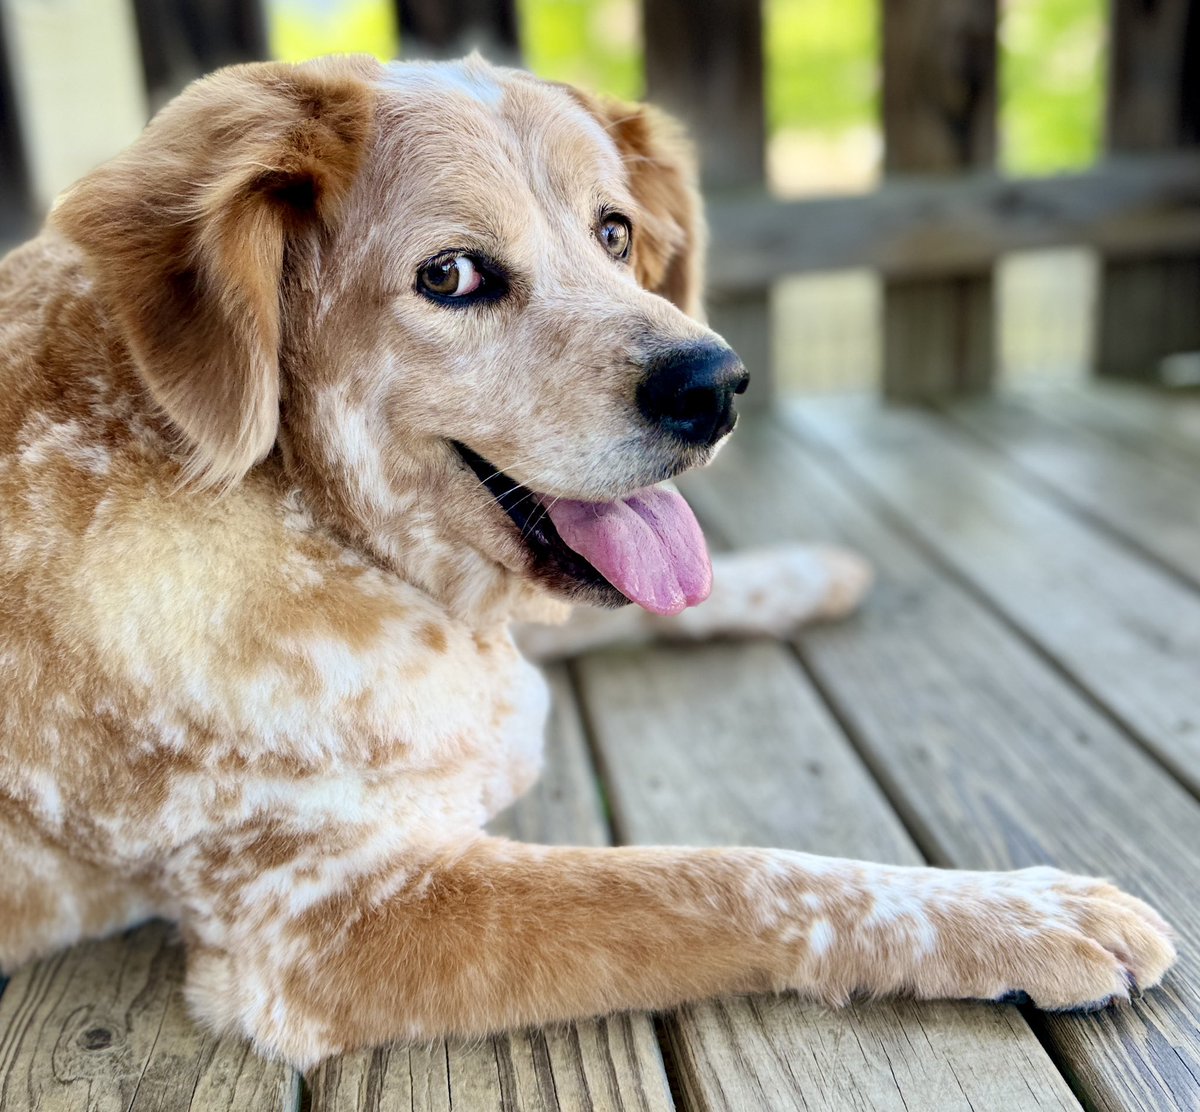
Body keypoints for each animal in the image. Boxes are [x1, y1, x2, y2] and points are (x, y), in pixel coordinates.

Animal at [0, 54, 1176, 1070]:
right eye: (451, 275)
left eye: (614, 233)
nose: (718, 384)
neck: (305, 509)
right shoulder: (327, 918)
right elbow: (727, 876)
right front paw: (1025, 911)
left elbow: (664, 609)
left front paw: (812, 572)